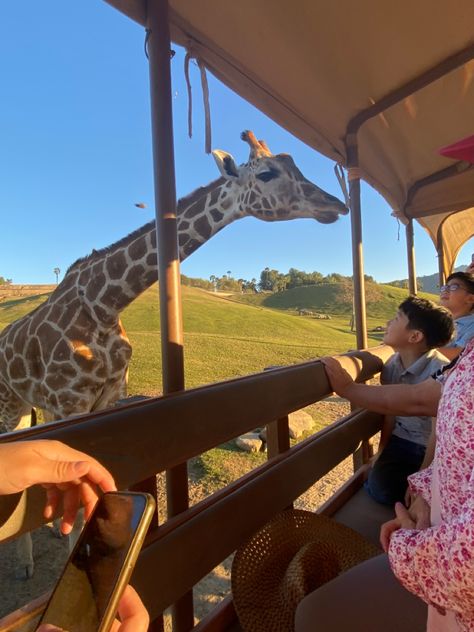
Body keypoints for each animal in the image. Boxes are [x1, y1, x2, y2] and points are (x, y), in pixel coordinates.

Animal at [0, 132, 348, 576]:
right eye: (268, 173)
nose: (336, 205)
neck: (103, 304)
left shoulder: (104, 399)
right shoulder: (70, 402)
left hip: (37, 406)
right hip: (10, 404)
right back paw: (26, 563)